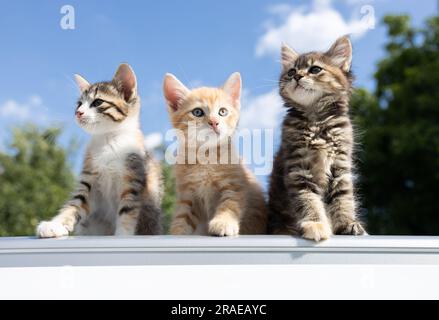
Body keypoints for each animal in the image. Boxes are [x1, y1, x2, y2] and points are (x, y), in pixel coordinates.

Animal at [37, 63, 163, 238]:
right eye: (79, 104)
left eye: (97, 102)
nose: (78, 113)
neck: (107, 139)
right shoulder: (88, 177)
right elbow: (75, 203)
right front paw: (55, 224)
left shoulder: (133, 177)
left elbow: (128, 210)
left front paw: (122, 235)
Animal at [163, 72, 268, 236]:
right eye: (197, 112)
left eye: (222, 111)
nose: (214, 122)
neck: (206, 156)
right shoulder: (187, 194)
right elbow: (182, 215)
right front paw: (177, 232)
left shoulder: (235, 185)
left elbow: (229, 204)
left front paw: (223, 223)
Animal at [268, 35, 368, 240]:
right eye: (291, 72)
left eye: (315, 69)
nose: (297, 76)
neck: (316, 122)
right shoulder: (298, 169)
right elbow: (308, 200)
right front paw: (315, 224)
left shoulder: (340, 167)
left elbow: (343, 199)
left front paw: (347, 224)